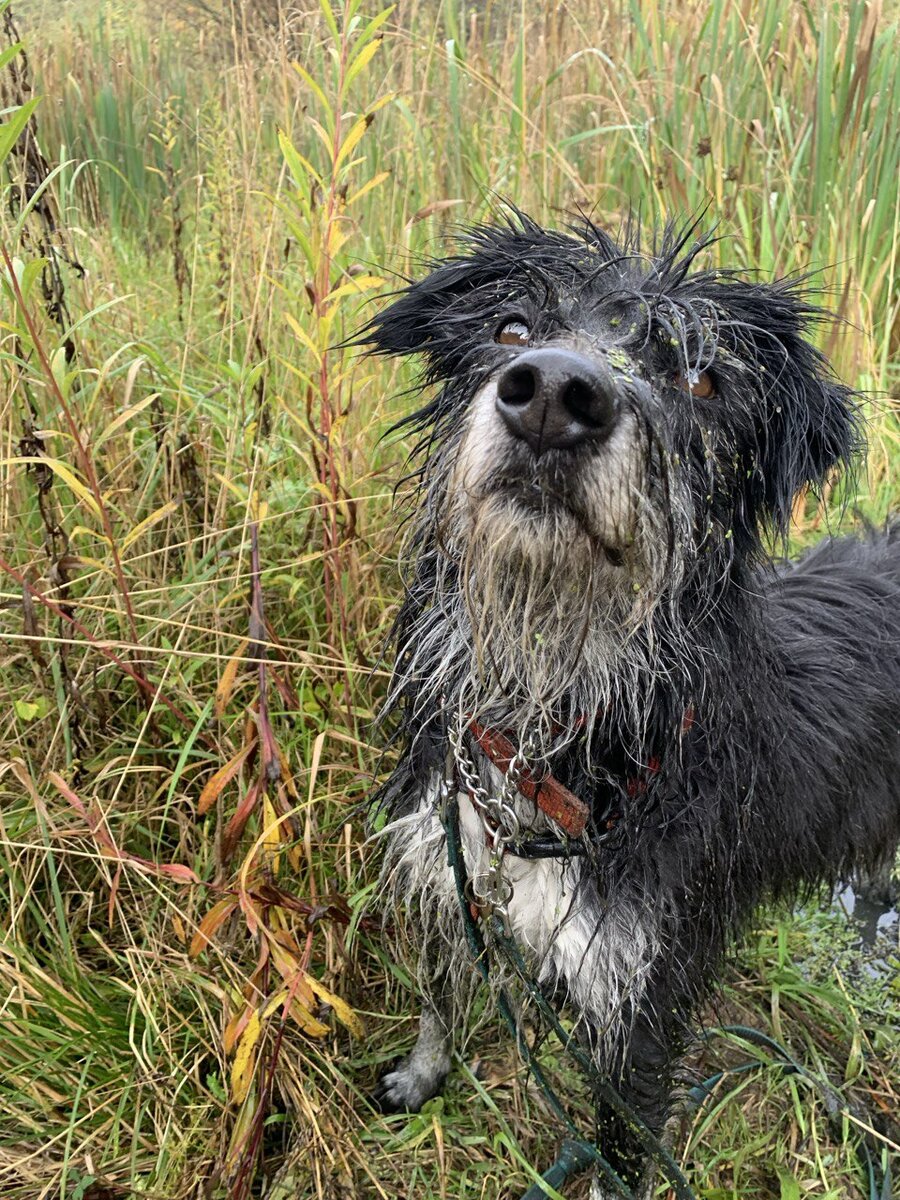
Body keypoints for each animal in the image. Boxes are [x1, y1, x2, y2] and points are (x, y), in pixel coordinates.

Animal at [362, 211, 900, 1195]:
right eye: (511, 329)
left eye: (703, 377)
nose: (552, 396)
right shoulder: (450, 865)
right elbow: (439, 993)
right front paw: (420, 1077)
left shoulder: (644, 996)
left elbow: (622, 1148)